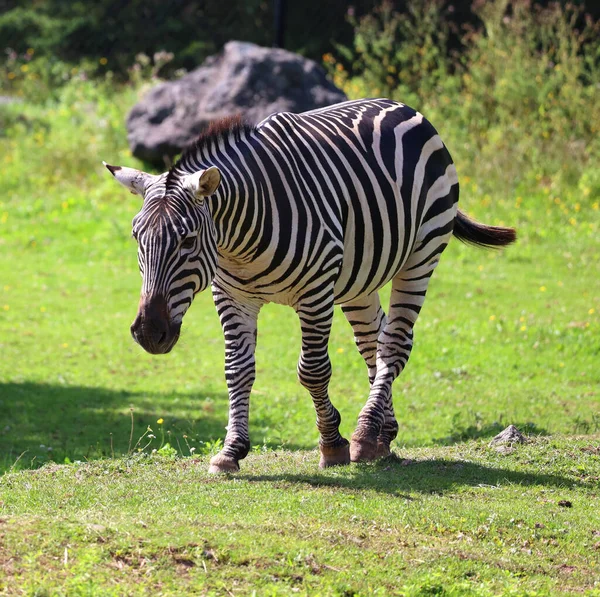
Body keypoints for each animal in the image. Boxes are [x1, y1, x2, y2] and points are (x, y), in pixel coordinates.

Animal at [104, 96, 516, 470]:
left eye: (188, 240)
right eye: (136, 237)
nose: (149, 332)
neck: (239, 243)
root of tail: (401, 106)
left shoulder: (316, 292)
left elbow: (313, 371)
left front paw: (332, 445)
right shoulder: (232, 295)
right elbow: (237, 369)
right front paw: (231, 450)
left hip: (422, 253)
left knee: (395, 344)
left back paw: (364, 434)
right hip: (359, 279)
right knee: (375, 341)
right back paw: (382, 433)